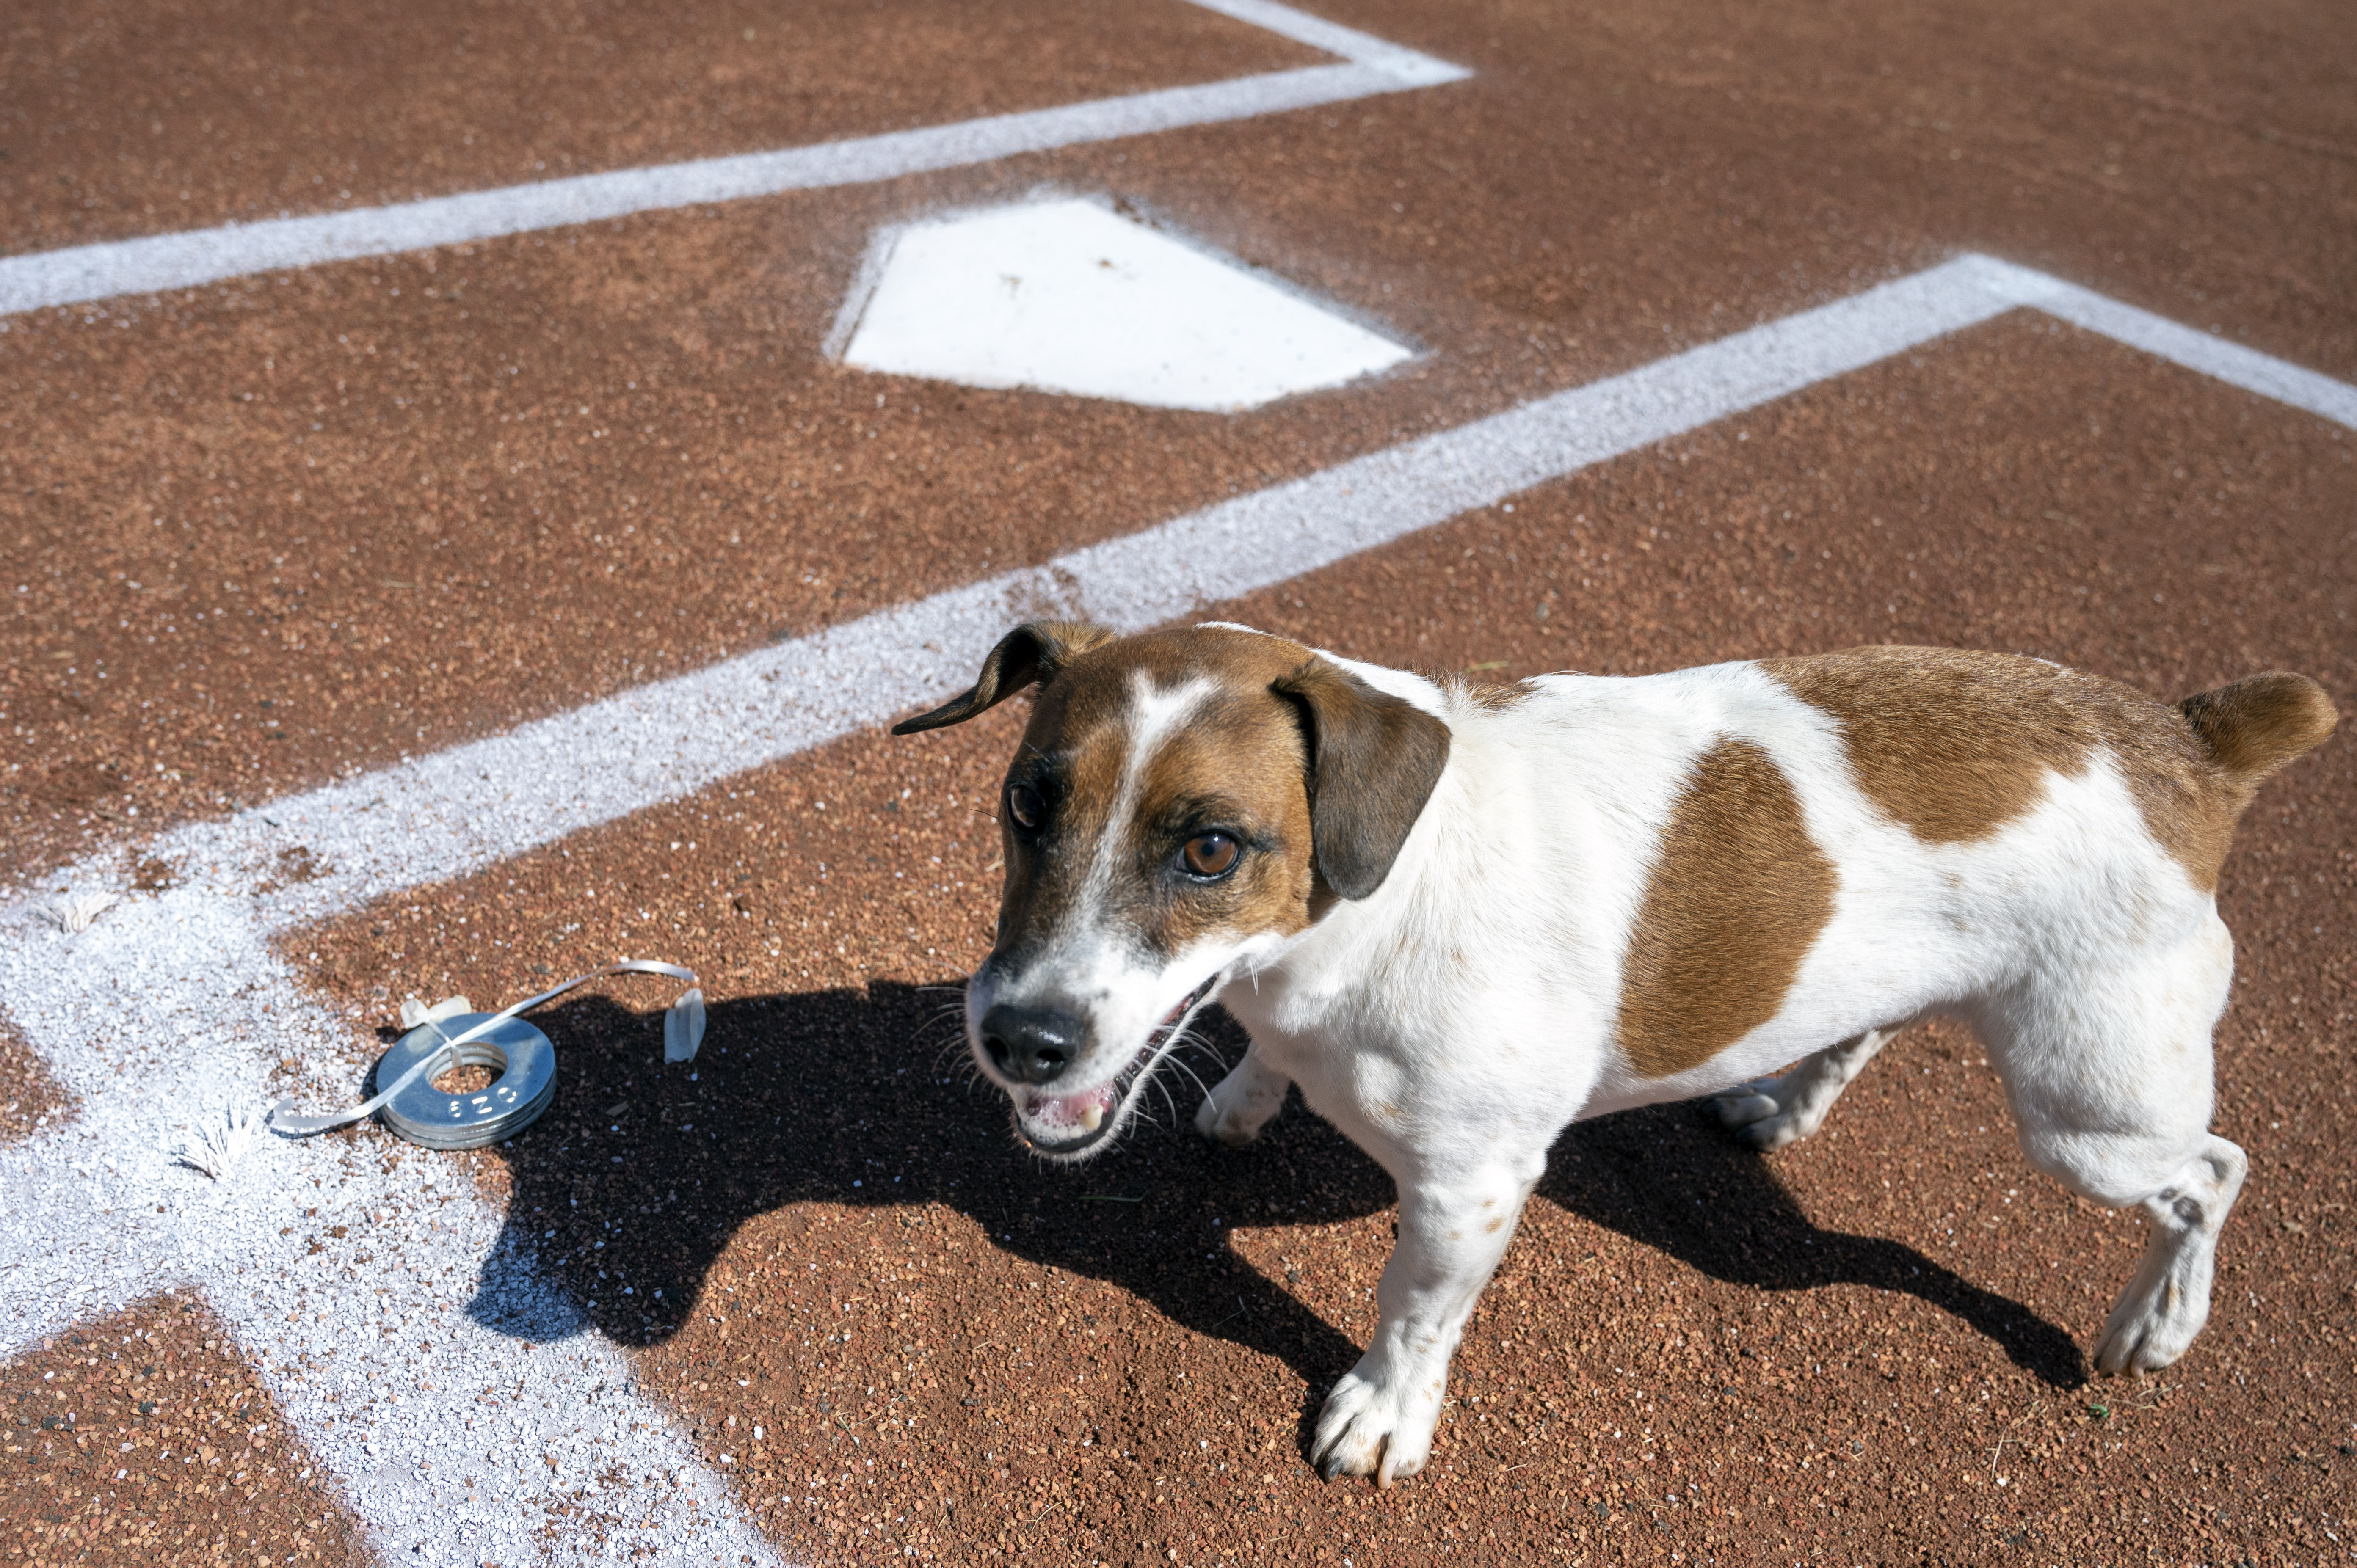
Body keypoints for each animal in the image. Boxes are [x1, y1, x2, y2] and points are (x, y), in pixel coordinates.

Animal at [886, 622, 2338, 1480]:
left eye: (1207, 847)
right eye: (1027, 804)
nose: (1017, 1038)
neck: (1380, 894)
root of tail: (2190, 738)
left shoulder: (1472, 1186)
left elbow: (1412, 1312)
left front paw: (1382, 1415)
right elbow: (1258, 1066)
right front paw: (1248, 1095)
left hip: (2090, 1110)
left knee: (2214, 1169)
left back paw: (2158, 1320)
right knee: (1872, 1021)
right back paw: (1781, 1103)